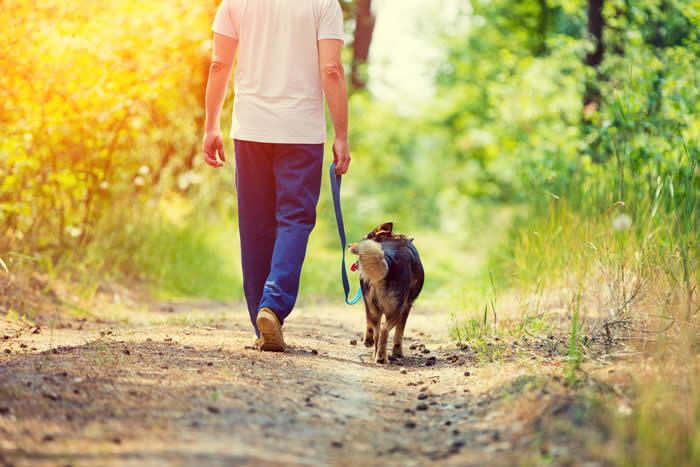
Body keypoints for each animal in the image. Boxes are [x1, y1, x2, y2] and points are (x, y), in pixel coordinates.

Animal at [348, 223, 424, 366]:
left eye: (364, 237)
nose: (349, 245)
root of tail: (388, 259)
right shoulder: (406, 307)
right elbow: (399, 334)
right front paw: (397, 352)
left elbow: (369, 324)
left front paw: (368, 340)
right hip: (396, 310)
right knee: (384, 330)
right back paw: (382, 357)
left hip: (372, 306)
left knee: (377, 331)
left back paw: (376, 353)